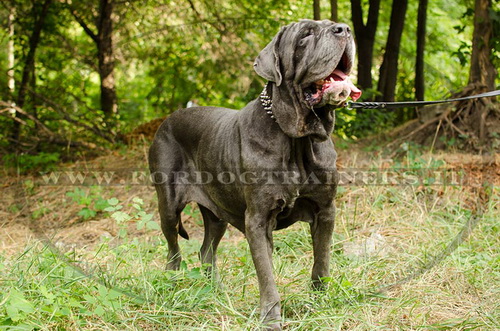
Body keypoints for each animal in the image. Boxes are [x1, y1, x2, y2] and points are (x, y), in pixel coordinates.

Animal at [148, 20, 360, 330]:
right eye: (306, 35)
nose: (344, 29)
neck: (296, 140)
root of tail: (168, 119)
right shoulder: (258, 220)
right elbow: (266, 275)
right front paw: (271, 318)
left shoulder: (325, 210)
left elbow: (321, 260)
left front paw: (322, 302)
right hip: (168, 205)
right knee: (173, 249)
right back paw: (172, 284)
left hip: (217, 212)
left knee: (206, 250)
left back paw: (214, 290)